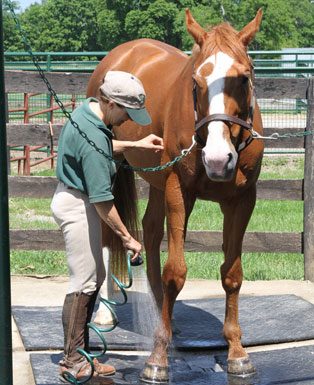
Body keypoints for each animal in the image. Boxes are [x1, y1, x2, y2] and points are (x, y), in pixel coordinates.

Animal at [87, 8, 264, 380]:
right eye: (196, 82)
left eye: (244, 78)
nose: (217, 159)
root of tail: (122, 52)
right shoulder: (178, 190)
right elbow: (175, 272)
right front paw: (157, 358)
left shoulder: (242, 200)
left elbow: (232, 274)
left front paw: (237, 351)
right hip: (115, 170)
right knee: (111, 234)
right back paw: (106, 315)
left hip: (157, 182)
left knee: (151, 231)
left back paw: (159, 314)